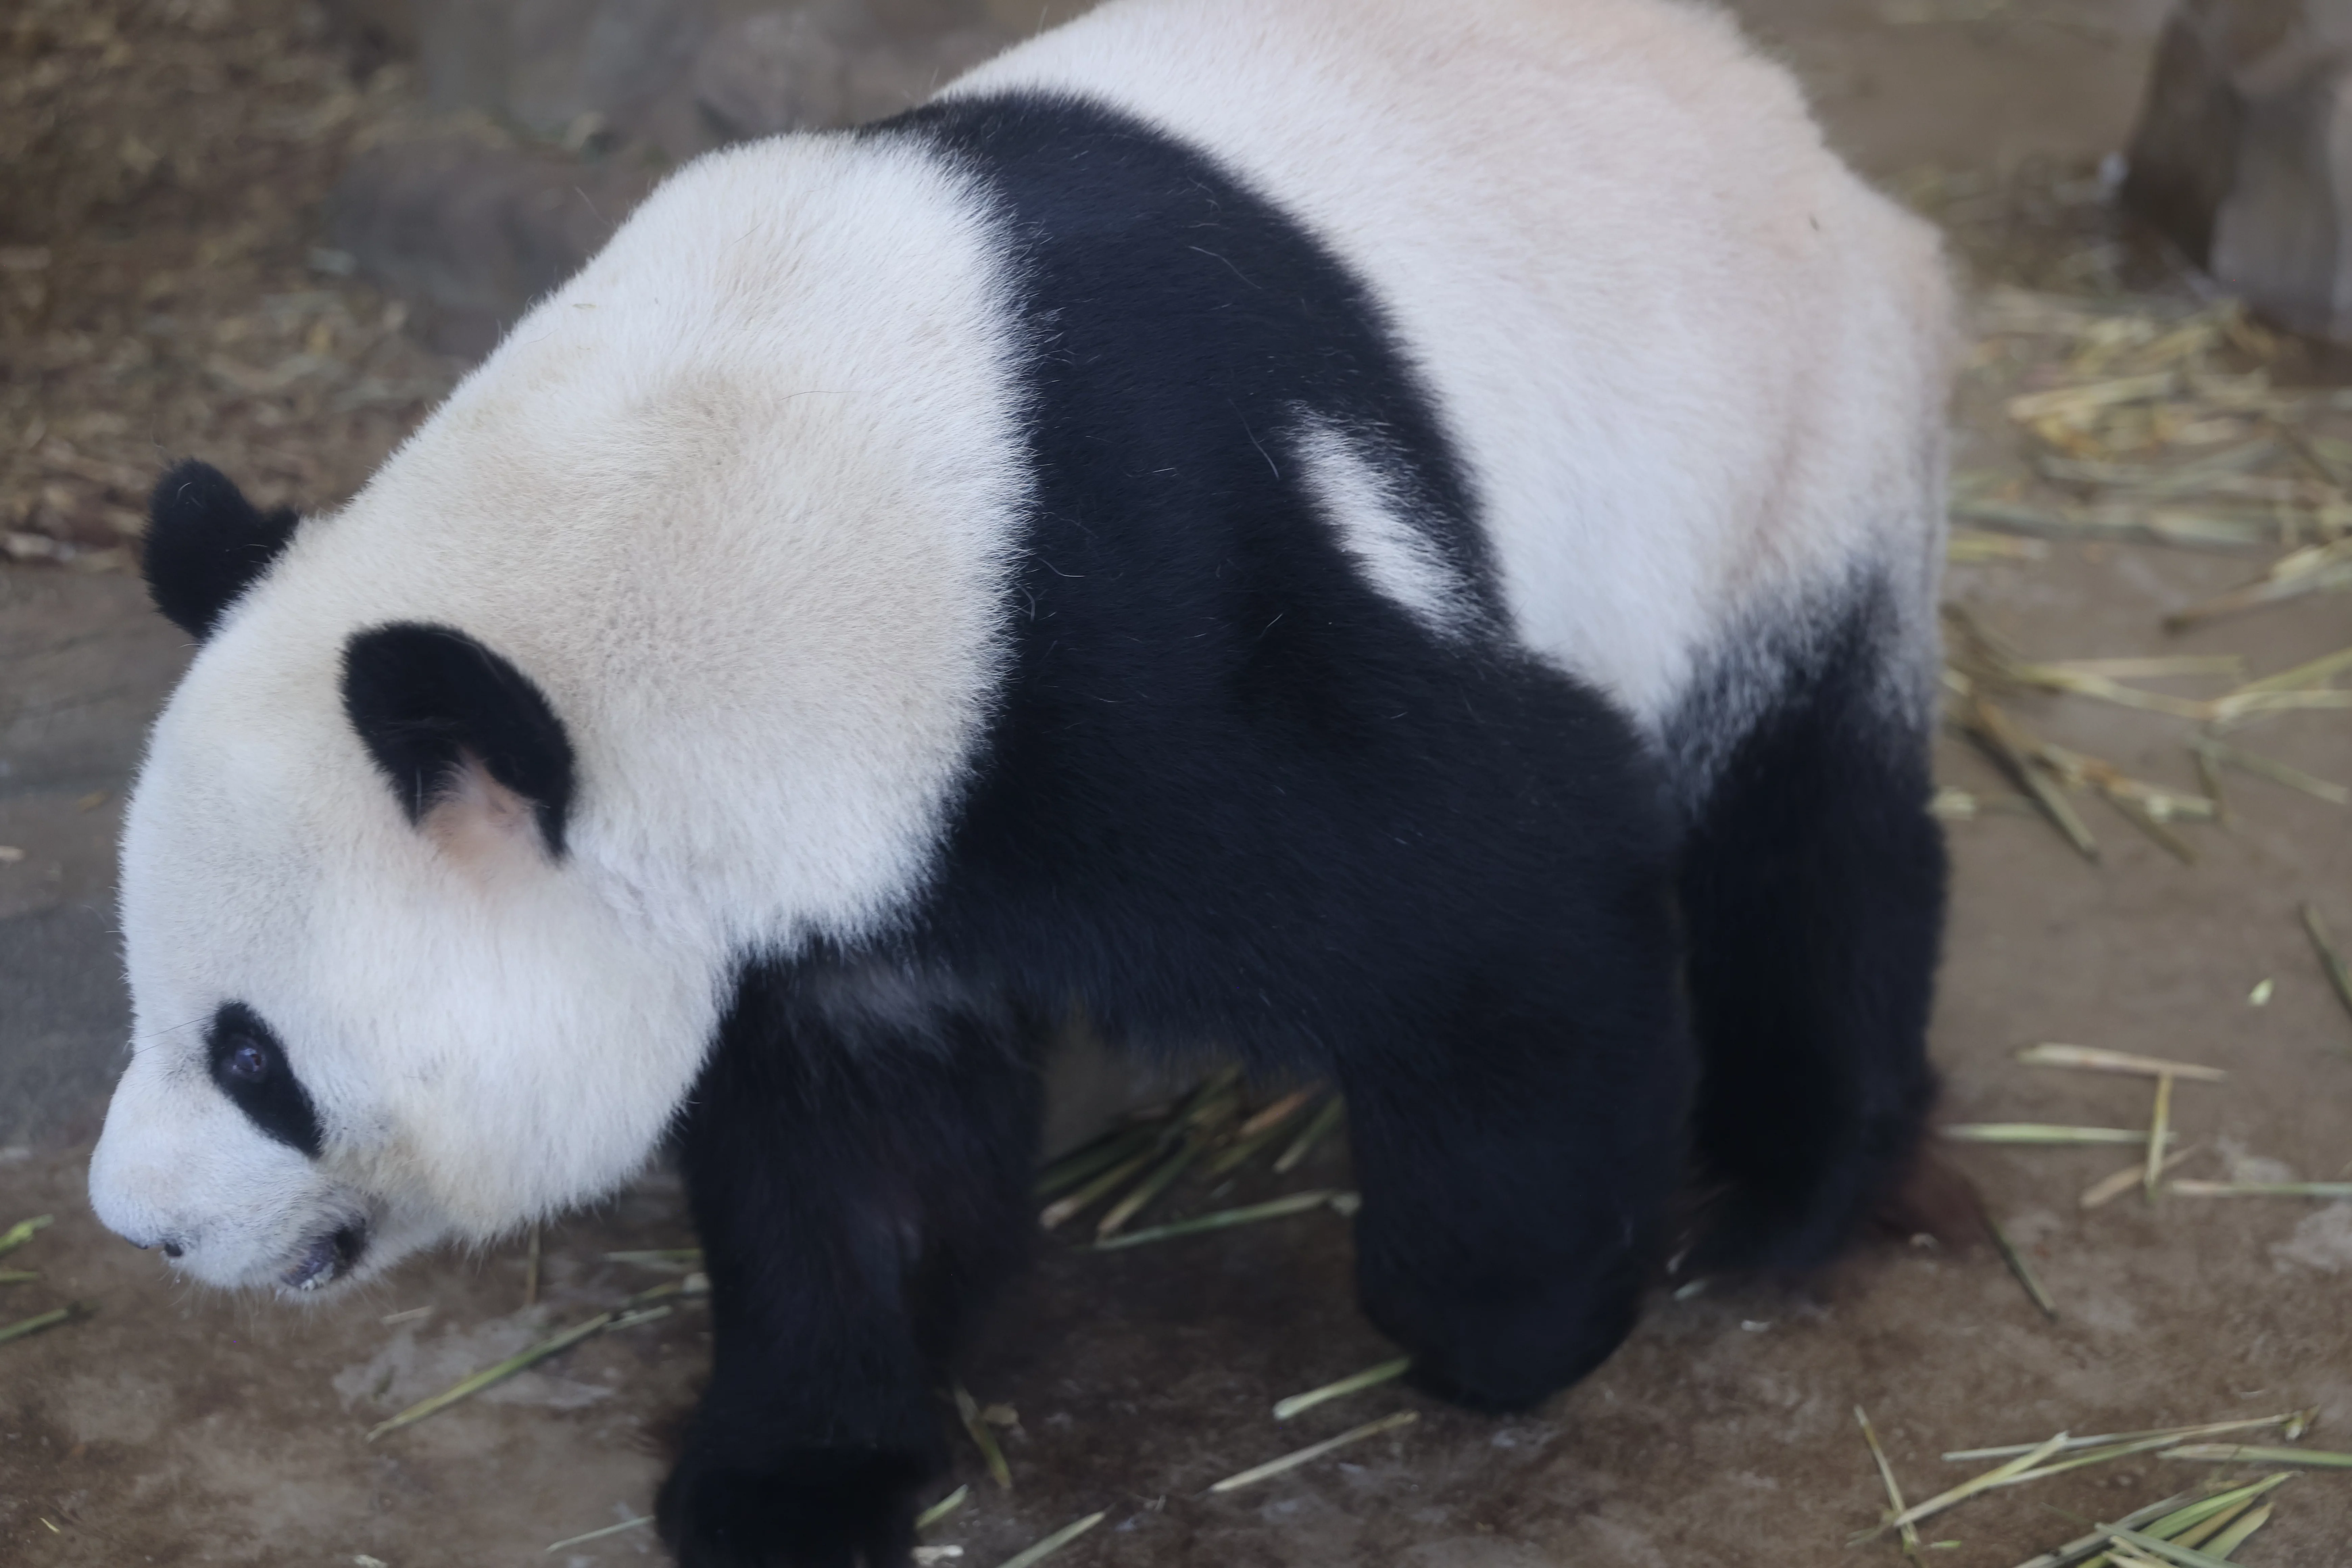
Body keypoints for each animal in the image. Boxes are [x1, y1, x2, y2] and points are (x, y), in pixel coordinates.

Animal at [88, 0, 1955, 1561]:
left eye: (252, 1055)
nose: (139, 1227)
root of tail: (1785, 113)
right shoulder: (858, 833)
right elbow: (857, 1146)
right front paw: (791, 1472)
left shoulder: (1128, 643)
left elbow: (1510, 884)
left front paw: (1513, 1322)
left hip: (1793, 445)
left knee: (1804, 815)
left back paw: (1788, 1181)